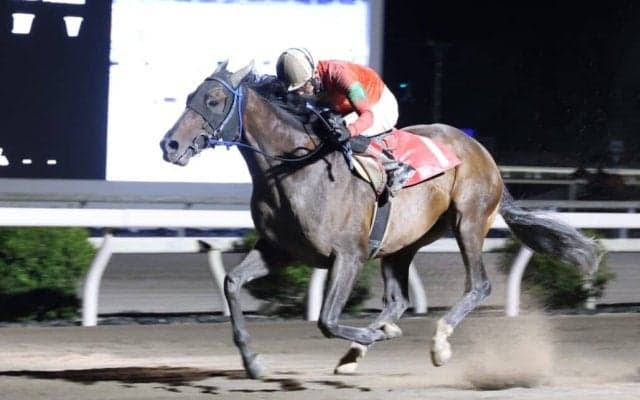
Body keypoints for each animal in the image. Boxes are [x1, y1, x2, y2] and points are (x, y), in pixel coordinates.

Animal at [160, 61, 601, 379]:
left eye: (215, 99)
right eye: (191, 95)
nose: (170, 144)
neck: (294, 169)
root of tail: (482, 152)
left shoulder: (348, 255)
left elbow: (327, 319)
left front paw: (372, 333)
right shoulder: (277, 249)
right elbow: (232, 283)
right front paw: (253, 362)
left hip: (468, 222)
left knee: (479, 285)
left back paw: (437, 343)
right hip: (403, 243)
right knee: (399, 300)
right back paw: (361, 349)